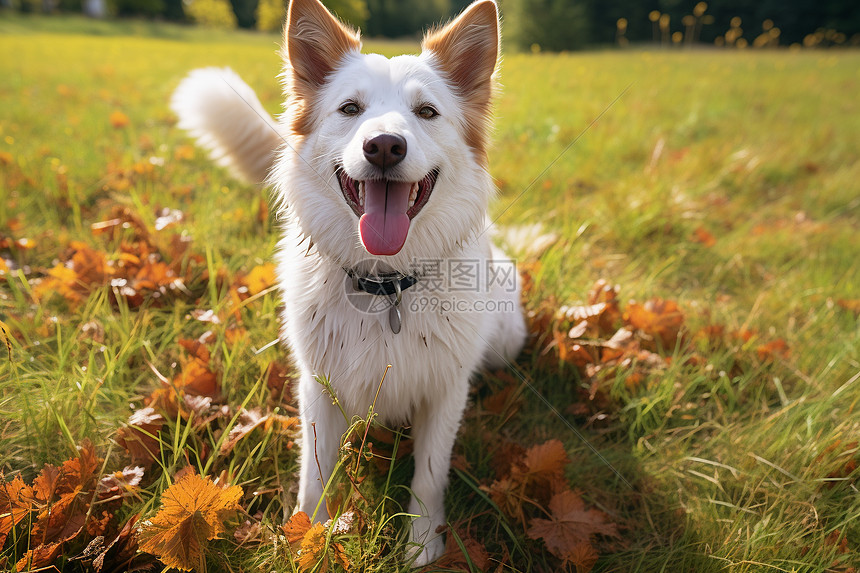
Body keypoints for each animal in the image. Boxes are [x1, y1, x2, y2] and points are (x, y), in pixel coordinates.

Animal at [170, 0, 524, 564]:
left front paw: (422, 549)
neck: (386, 286)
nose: (384, 147)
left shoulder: (444, 394)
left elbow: (429, 477)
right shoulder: (318, 389)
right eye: (350, 109)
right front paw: (306, 540)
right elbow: (313, 476)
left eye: (427, 113)